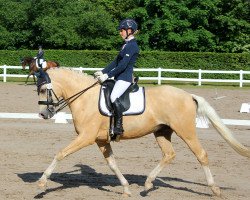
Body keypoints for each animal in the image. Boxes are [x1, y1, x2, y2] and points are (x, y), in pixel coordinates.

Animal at [36, 67, 249, 197]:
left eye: (44, 90)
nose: (43, 114)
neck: (85, 98)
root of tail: (188, 95)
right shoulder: (101, 140)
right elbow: (112, 164)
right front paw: (126, 189)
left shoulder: (86, 137)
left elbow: (61, 153)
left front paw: (42, 182)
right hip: (162, 132)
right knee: (169, 154)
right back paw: (147, 184)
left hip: (186, 131)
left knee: (201, 155)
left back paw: (215, 189)